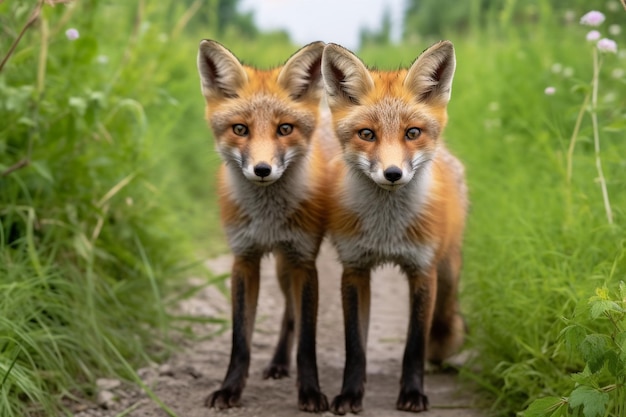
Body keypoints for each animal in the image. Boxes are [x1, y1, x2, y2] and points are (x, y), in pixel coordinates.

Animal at [196, 40, 332, 412]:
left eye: (284, 129)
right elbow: (240, 338)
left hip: (289, 265)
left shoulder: (305, 261)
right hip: (283, 269)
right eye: (240, 129)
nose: (261, 170)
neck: (268, 218)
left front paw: (310, 391)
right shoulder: (244, 259)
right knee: (288, 312)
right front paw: (230, 389)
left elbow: (308, 340)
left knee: (292, 315)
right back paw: (278, 363)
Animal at [320, 39, 466, 412]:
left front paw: (413, 394)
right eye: (367, 134)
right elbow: (355, 346)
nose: (393, 174)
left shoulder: (423, 271)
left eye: (412, 133)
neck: (386, 231)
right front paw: (350, 394)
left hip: (448, 268)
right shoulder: (354, 269)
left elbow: (414, 345)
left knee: (444, 320)